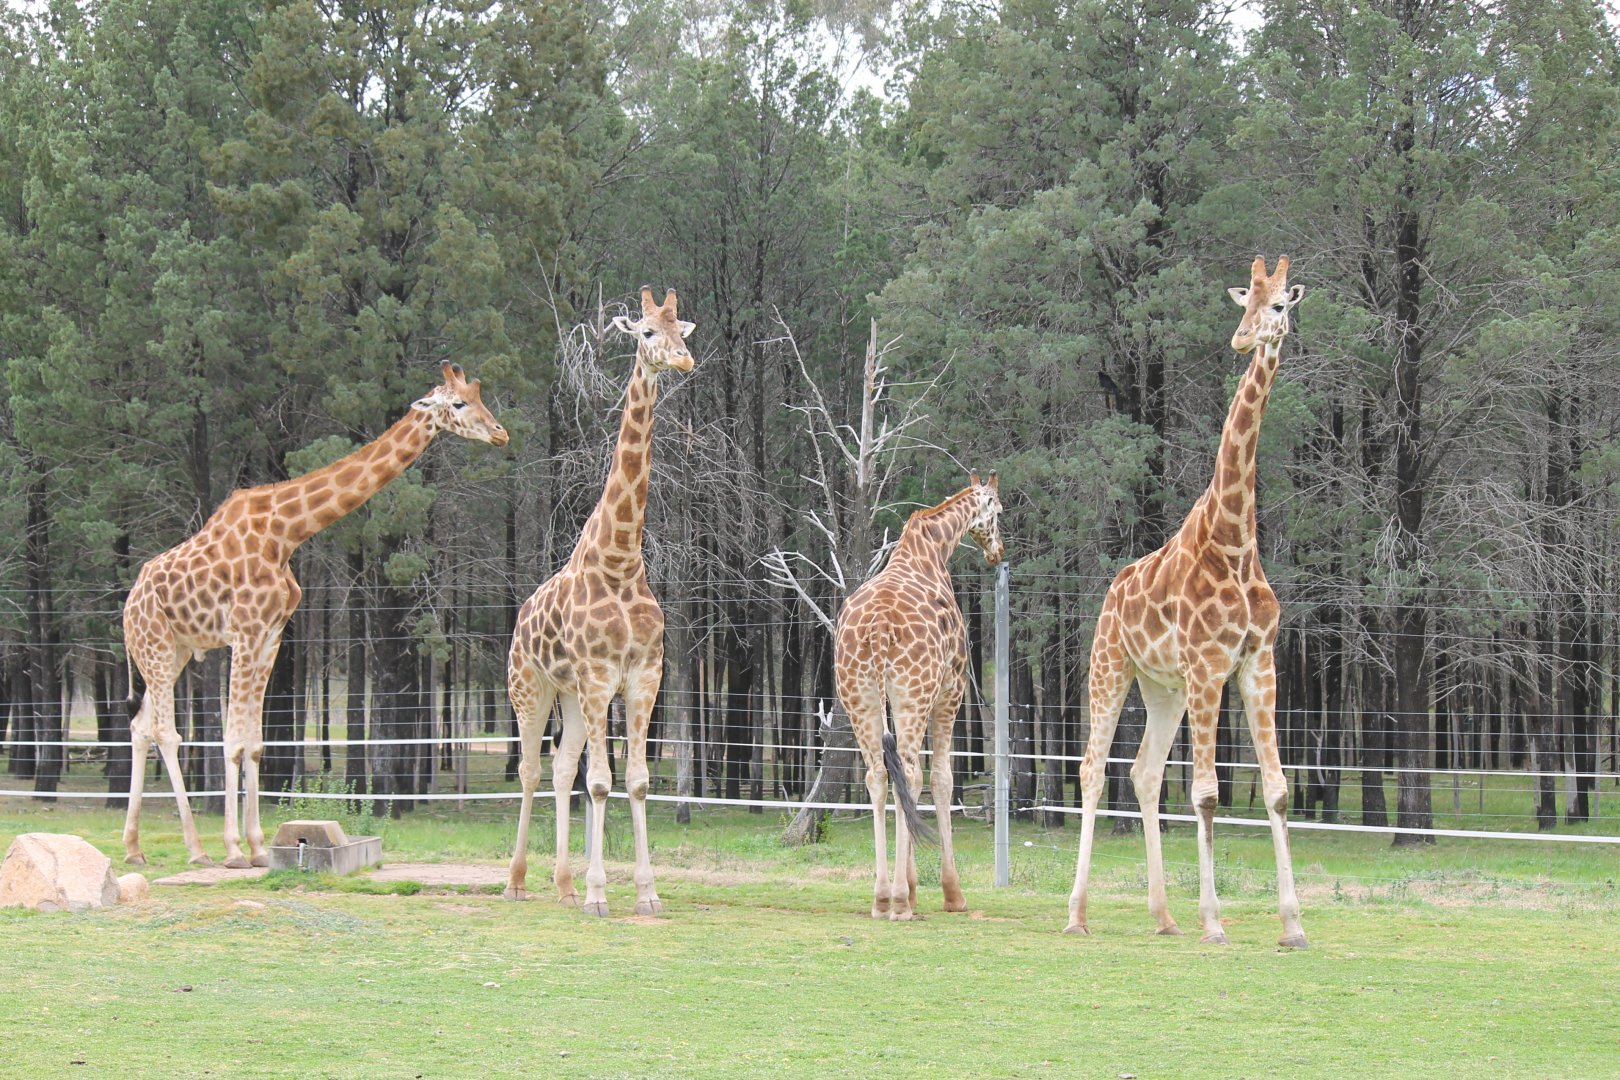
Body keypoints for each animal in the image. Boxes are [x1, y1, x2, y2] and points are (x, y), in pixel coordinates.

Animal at [121, 363, 508, 868]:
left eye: (480, 397)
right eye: (459, 403)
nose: (501, 433)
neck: (286, 534)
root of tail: (127, 606)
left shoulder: (271, 636)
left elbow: (255, 743)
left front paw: (259, 847)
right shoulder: (245, 632)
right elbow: (232, 740)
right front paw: (233, 850)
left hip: (176, 652)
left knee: (139, 726)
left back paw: (133, 848)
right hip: (156, 646)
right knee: (165, 731)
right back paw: (197, 849)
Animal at [504, 286, 694, 917]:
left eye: (682, 328)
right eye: (646, 332)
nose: (684, 360)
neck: (621, 560)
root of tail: (518, 620)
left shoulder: (642, 674)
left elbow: (632, 781)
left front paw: (645, 893)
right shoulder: (595, 675)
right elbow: (601, 782)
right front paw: (598, 895)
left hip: (568, 695)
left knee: (562, 768)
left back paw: (561, 884)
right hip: (530, 688)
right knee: (532, 771)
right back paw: (518, 881)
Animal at [835, 474, 1004, 921]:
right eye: (998, 511)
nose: (998, 551)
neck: (932, 549)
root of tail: (878, 627)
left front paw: (910, 889)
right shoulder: (952, 687)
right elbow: (942, 779)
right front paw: (950, 894)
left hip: (858, 694)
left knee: (879, 775)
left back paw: (882, 898)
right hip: (915, 692)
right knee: (910, 773)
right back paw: (898, 902)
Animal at [1066, 256, 1308, 948]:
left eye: (1277, 305)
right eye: (1243, 302)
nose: (1243, 339)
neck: (1236, 540)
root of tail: (1112, 590)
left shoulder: (1257, 664)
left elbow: (1277, 790)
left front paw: (1292, 925)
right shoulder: (1208, 665)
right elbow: (1205, 793)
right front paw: (1215, 922)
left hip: (1163, 687)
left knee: (1144, 774)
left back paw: (1163, 916)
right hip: (1110, 665)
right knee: (1093, 769)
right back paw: (1078, 913)